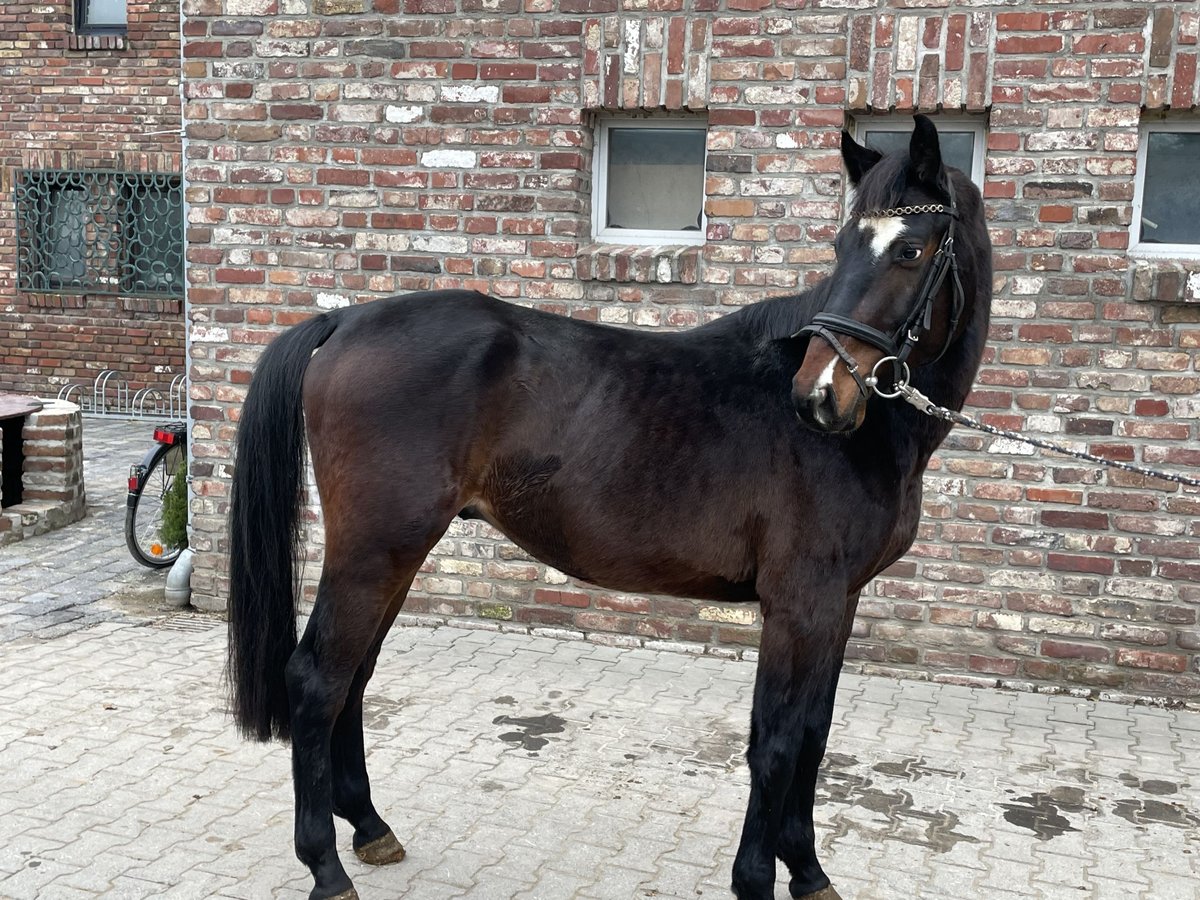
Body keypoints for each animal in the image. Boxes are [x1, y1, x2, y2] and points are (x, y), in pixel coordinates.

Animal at [226, 116, 993, 897]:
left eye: (909, 249)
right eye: (841, 247)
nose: (819, 396)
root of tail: (345, 321)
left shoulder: (839, 602)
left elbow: (813, 735)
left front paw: (808, 871)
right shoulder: (798, 604)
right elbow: (775, 743)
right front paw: (757, 879)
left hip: (395, 559)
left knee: (354, 676)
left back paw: (370, 828)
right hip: (374, 553)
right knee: (317, 681)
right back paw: (325, 865)